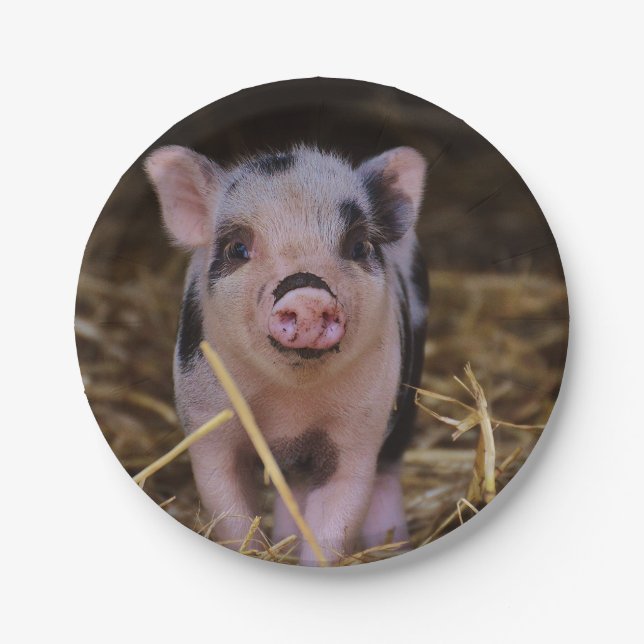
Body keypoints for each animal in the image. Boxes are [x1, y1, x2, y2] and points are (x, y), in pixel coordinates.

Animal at [144, 143, 429, 565]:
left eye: (359, 246)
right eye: (237, 248)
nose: (307, 294)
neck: (290, 407)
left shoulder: (359, 433)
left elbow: (336, 519)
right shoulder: (207, 424)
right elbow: (230, 512)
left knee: (387, 474)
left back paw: (394, 545)